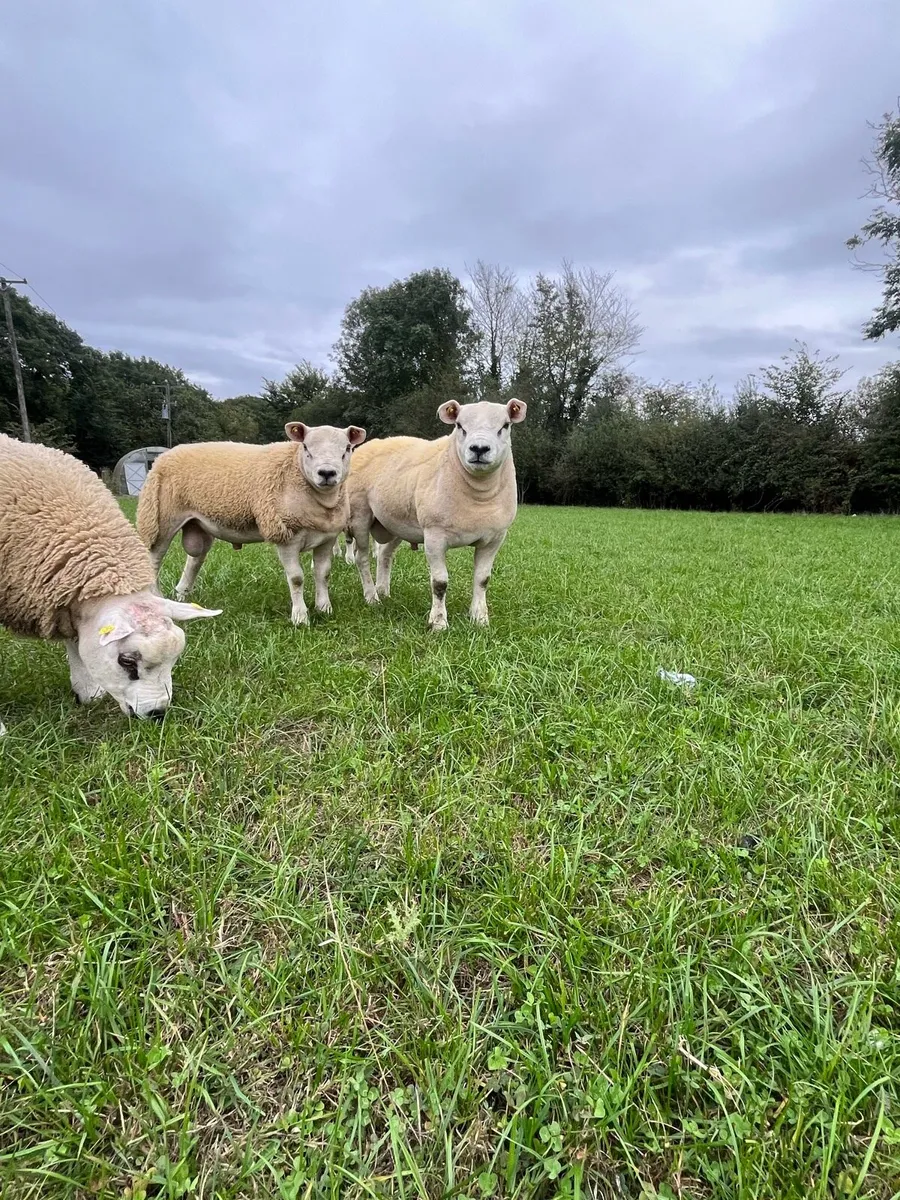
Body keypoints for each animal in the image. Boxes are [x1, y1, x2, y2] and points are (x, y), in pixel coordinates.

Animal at [137, 422, 366, 626]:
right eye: (306, 447)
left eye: (347, 448)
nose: (327, 473)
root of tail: (163, 456)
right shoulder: (285, 535)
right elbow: (296, 579)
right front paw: (300, 617)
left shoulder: (326, 538)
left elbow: (323, 574)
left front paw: (324, 608)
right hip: (161, 520)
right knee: (153, 560)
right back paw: (158, 599)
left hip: (199, 523)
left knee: (194, 560)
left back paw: (182, 595)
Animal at [346, 398, 526, 630]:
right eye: (459, 426)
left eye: (505, 425)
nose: (479, 449)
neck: (478, 496)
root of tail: (369, 444)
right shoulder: (434, 536)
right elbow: (439, 583)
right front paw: (438, 623)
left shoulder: (494, 539)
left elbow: (482, 579)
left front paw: (480, 619)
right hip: (359, 516)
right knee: (361, 558)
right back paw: (371, 597)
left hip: (393, 522)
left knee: (385, 554)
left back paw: (383, 592)